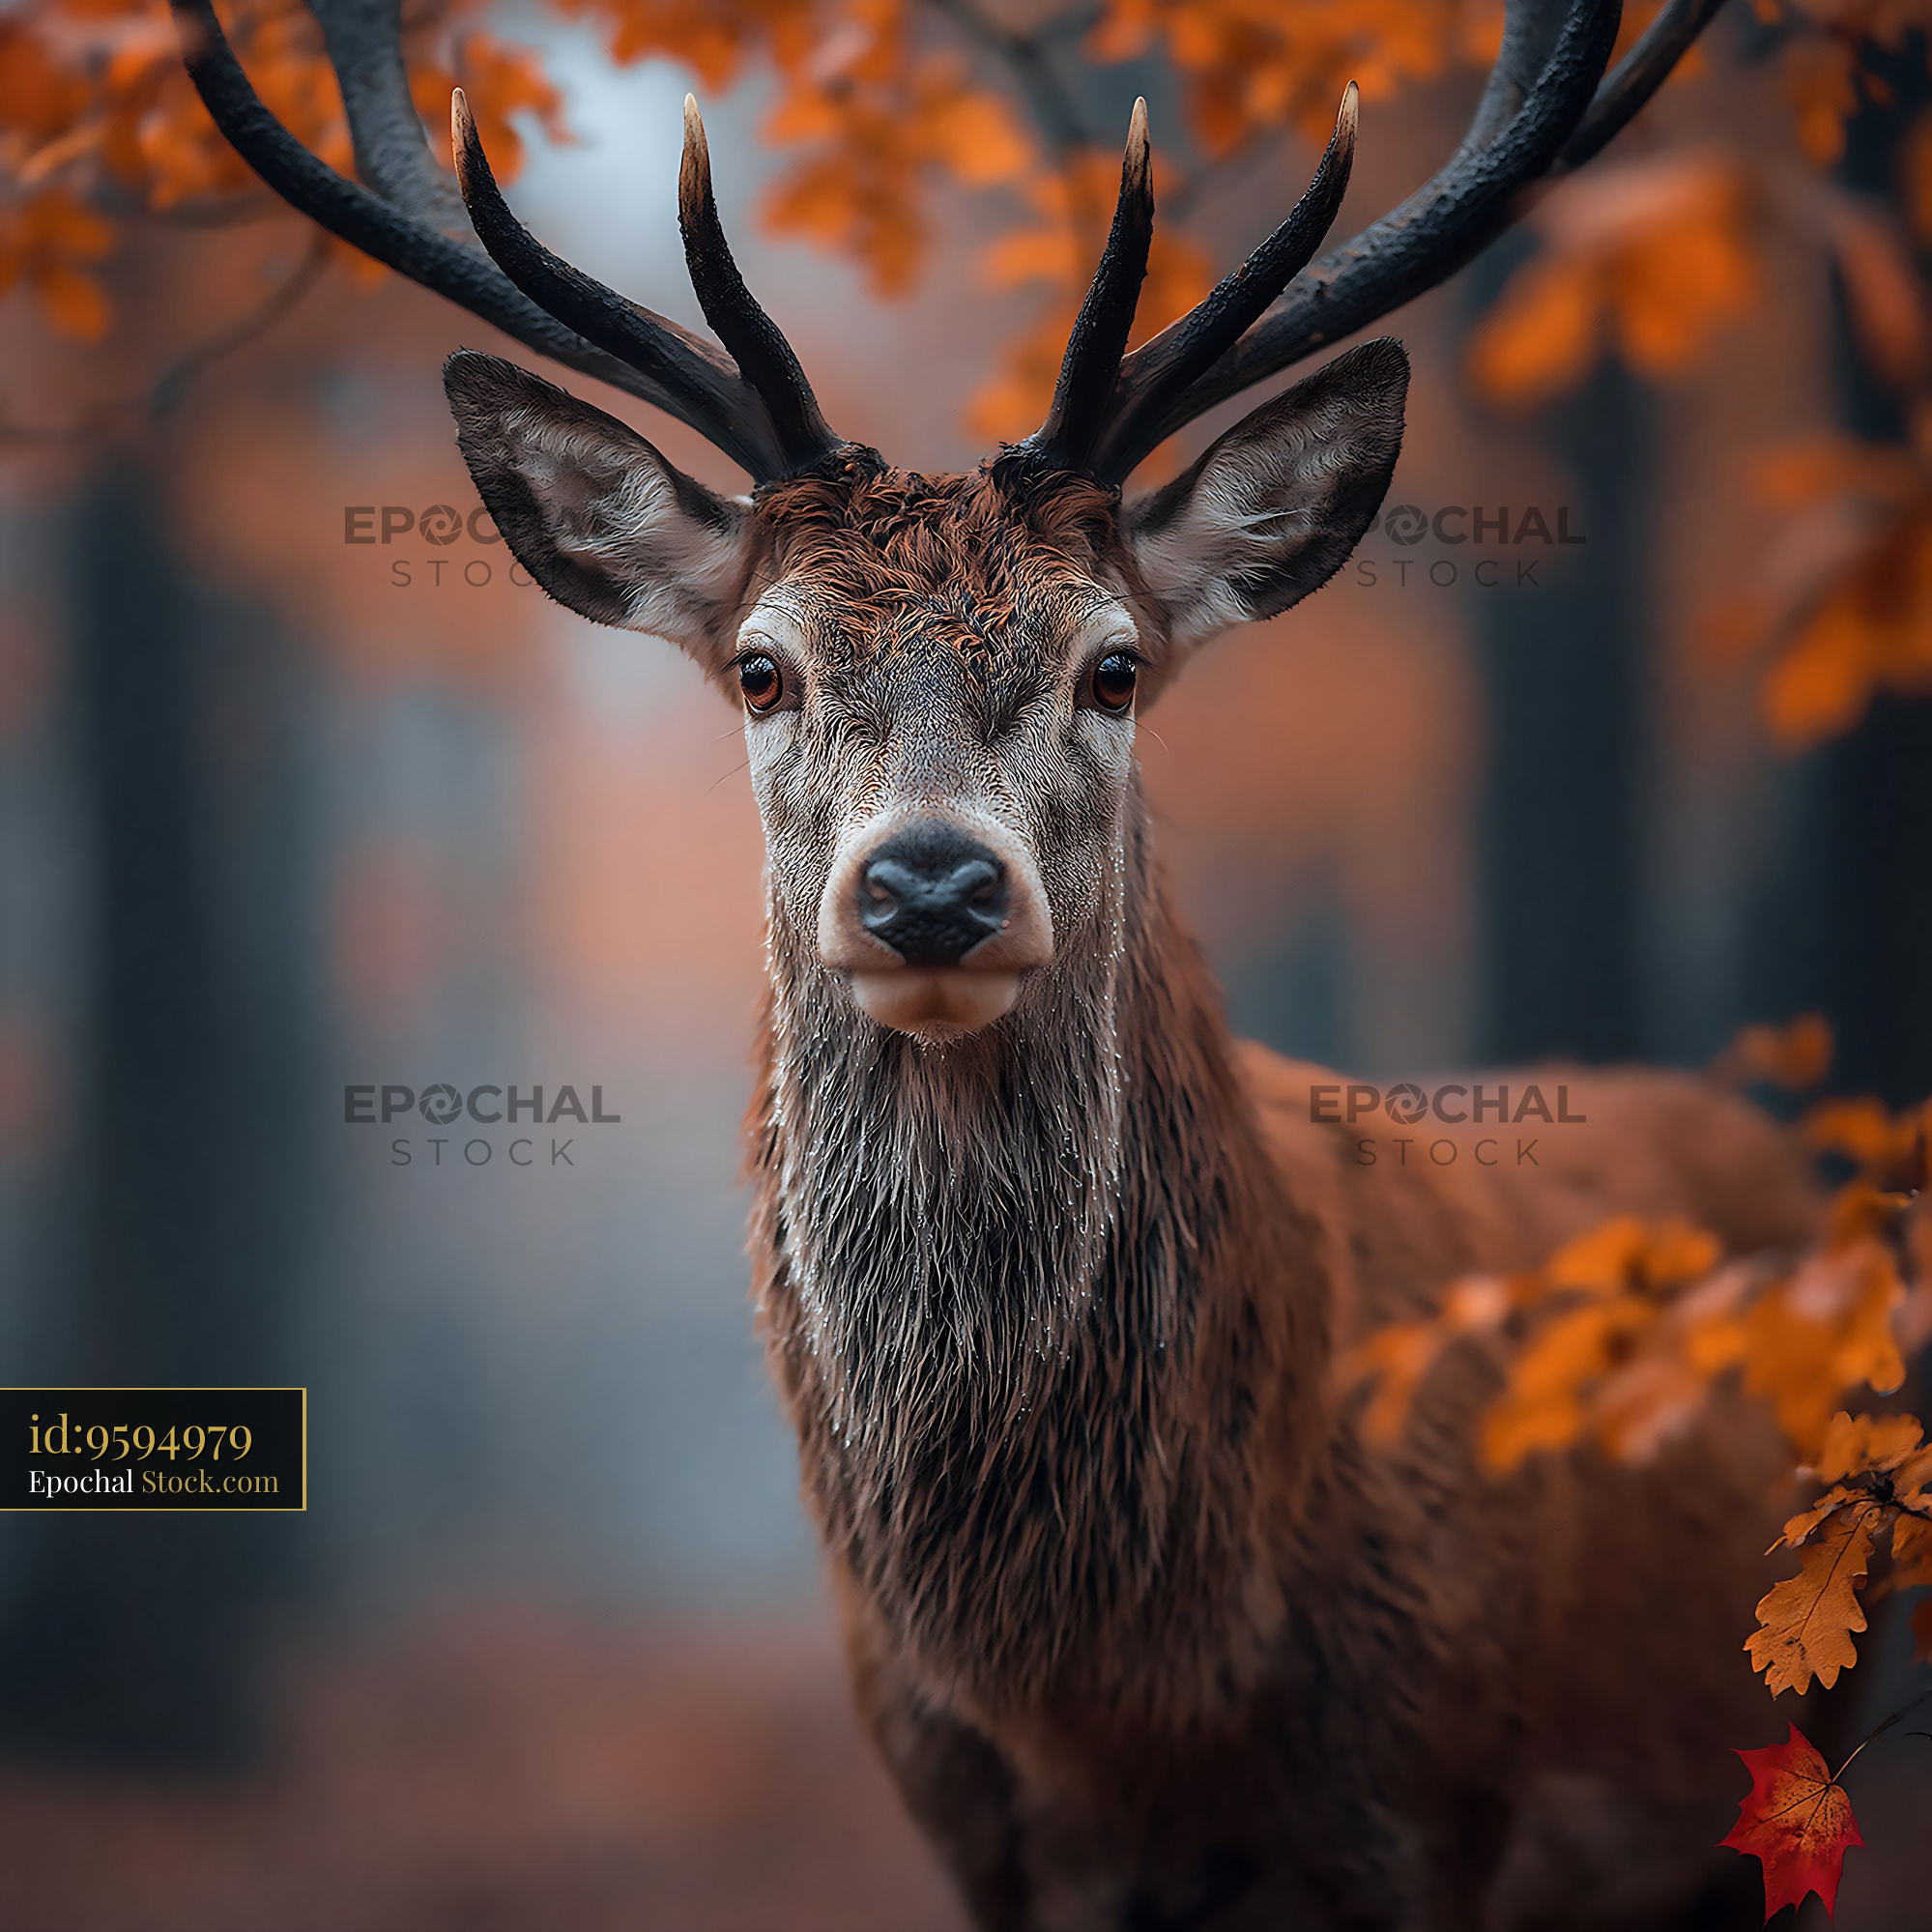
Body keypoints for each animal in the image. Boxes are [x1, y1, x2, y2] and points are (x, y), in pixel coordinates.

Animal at [172, 0, 1833, 1922]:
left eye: (1111, 665)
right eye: (760, 666)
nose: (931, 887)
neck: (1119, 1703)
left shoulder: (1436, 1805)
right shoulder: (972, 1832)